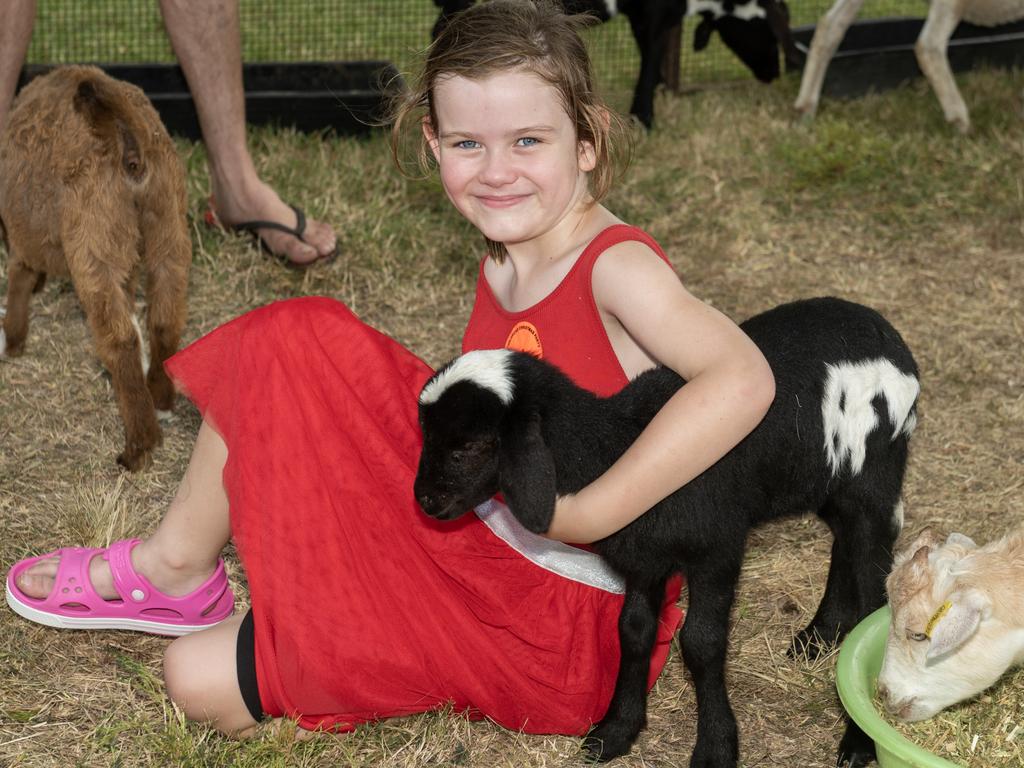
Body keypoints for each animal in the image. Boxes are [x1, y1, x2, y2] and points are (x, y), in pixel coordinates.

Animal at [0, 66, 192, 473]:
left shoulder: (23, 237)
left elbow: (20, 278)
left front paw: (13, 339)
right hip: (168, 226)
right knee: (165, 318)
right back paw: (161, 398)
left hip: (93, 239)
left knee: (120, 339)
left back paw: (139, 446)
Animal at [430, 0, 798, 128]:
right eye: (770, 31)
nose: (774, 73)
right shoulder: (658, 10)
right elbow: (651, 55)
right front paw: (644, 117)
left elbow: (649, 53)